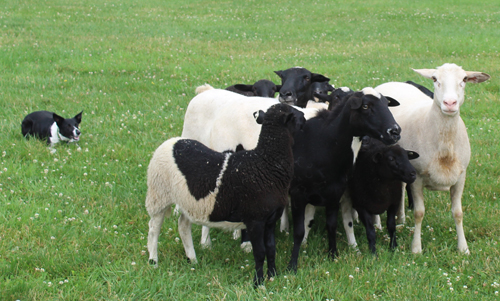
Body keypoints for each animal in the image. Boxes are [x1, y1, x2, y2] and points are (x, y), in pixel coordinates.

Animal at [146, 102, 304, 286]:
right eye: (293, 114)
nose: (305, 118)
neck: (265, 163)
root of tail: (171, 141)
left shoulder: (270, 220)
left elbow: (271, 249)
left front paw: (273, 275)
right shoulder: (255, 220)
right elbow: (260, 253)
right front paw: (258, 284)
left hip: (187, 200)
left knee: (183, 226)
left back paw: (192, 259)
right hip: (159, 194)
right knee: (154, 229)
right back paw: (153, 261)